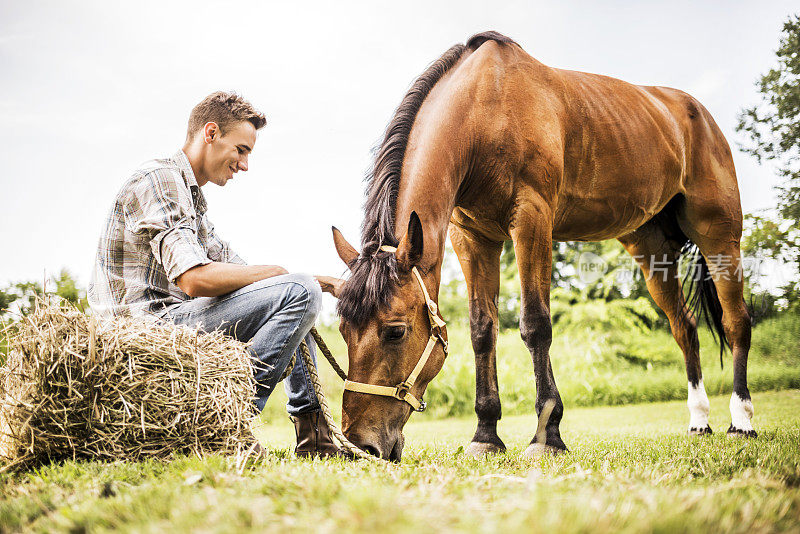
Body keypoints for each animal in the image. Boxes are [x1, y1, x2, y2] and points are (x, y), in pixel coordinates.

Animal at [324, 31, 756, 462]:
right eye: (344, 330)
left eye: (395, 332)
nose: (361, 444)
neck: (485, 108)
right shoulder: (472, 237)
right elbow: (483, 330)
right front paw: (486, 435)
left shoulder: (532, 220)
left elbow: (535, 325)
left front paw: (547, 435)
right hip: (651, 252)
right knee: (685, 328)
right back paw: (699, 421)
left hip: (720, 238)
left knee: (736, 321)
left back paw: (741, 421)